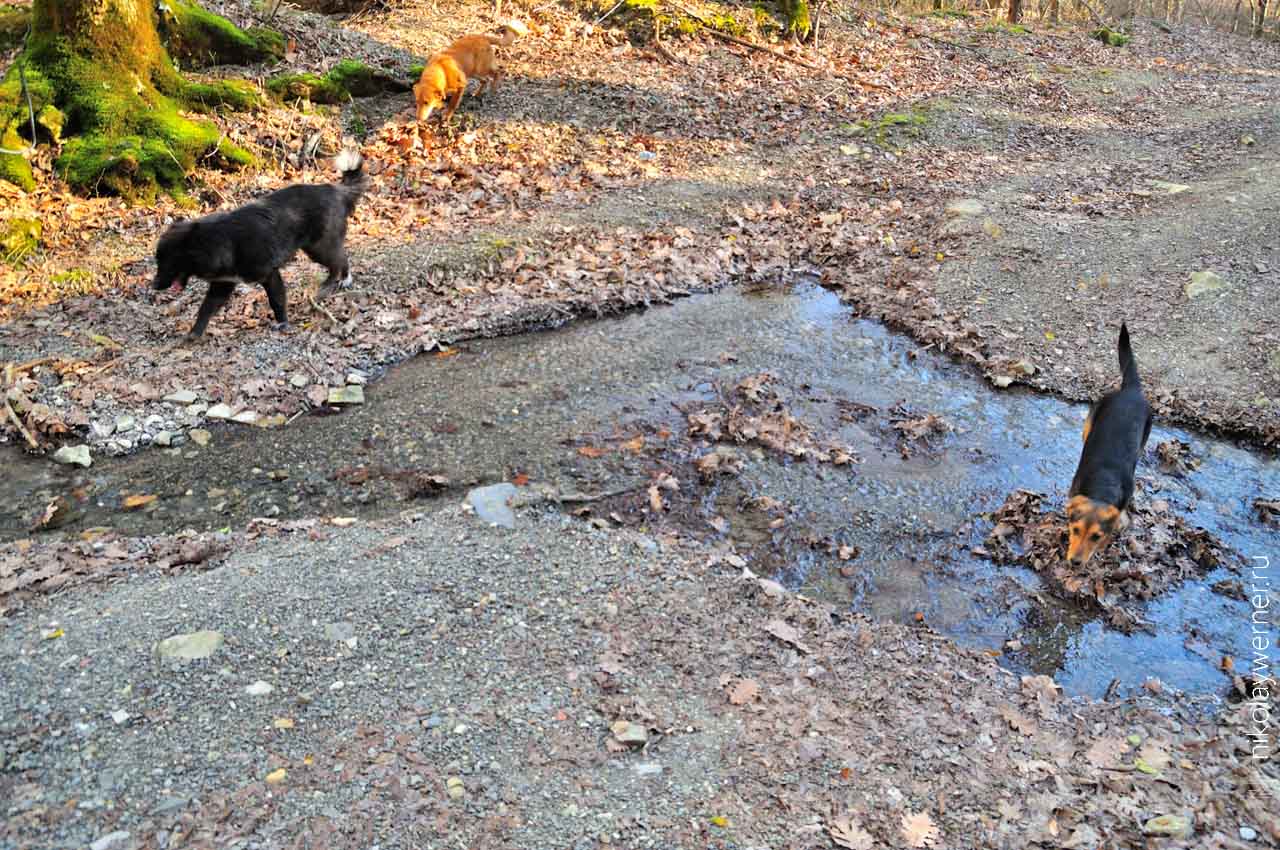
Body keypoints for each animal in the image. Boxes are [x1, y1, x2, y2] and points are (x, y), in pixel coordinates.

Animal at [153, 149, 371, 337]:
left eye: (166, 262)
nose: (154, 286)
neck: (219, 241)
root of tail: (336, 189)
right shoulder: (223, 284)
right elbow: (205, 310)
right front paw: (194, 334)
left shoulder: (270, 275)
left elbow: (277, 302)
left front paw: (283, 323)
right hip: (314, 247)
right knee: (339, 259)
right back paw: (337, 281)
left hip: (318, 247)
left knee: (338, 260)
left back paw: (335, 283)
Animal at [1064, 322, 1157, 568]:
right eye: (1075, 530)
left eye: (1096, 536)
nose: (1075, 563)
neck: (1103, 487)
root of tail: (1131, 390)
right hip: (1090, 423)